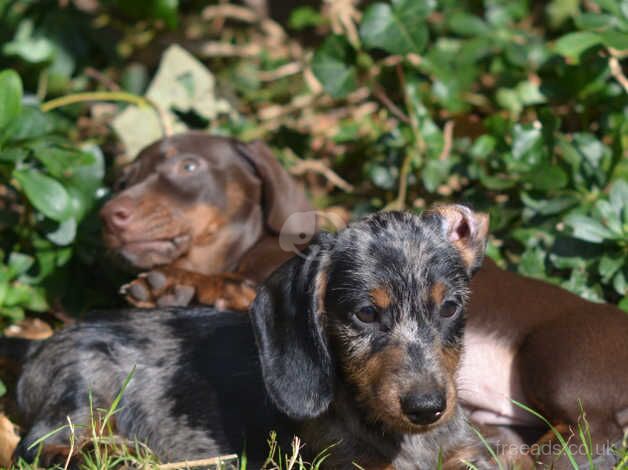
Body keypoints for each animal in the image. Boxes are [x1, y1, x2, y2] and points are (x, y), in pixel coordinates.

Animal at [8, 207, 490, 468]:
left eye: (450, 307)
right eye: (366, 314)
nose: (427, 408)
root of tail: (39, 344)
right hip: (81, 392)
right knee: (39, 447)